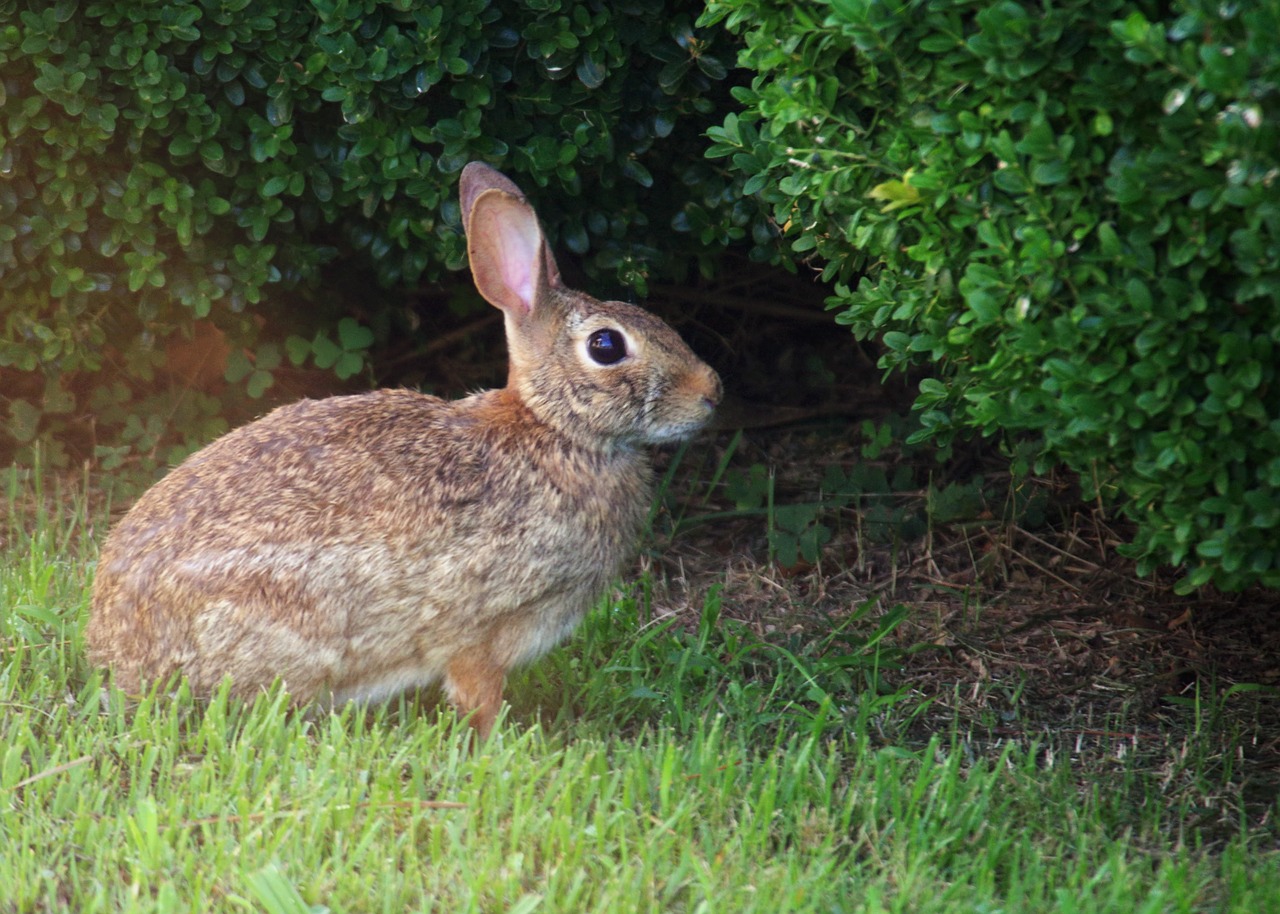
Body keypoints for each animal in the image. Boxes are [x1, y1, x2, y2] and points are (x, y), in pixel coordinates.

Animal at [88, 161, 721, 732]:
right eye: (606, 346)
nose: (713, 392)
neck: (554, 431)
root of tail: (115, 653)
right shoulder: (478, 628)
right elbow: (477, 695)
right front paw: (491, 745)